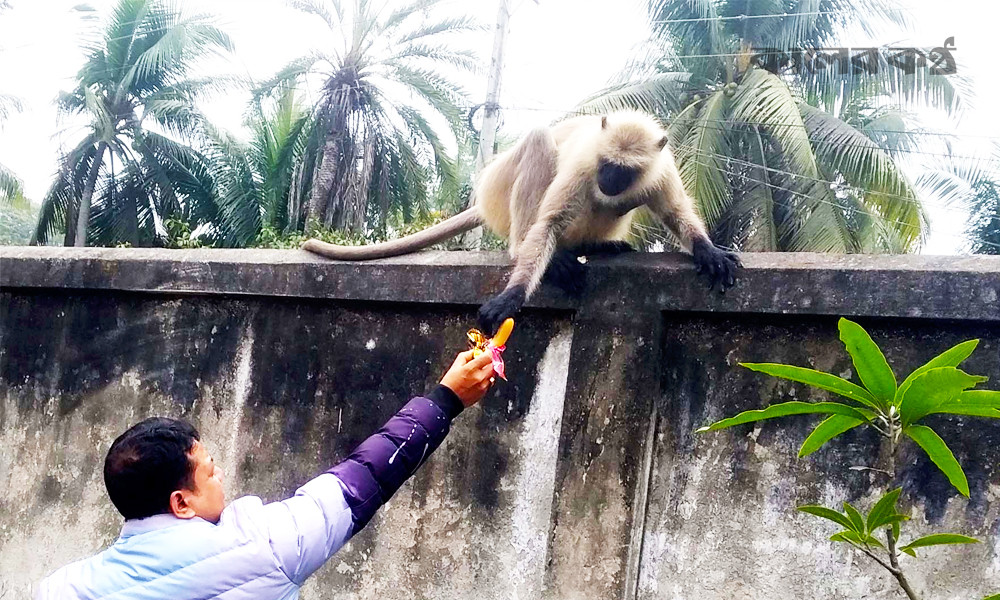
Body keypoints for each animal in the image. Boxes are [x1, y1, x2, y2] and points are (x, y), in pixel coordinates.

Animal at [304, 110, 744, 336]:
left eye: (622, 170)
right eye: (606, 164)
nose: (608, 181)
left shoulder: (658, 167)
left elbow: (676, 213)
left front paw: (709, 251)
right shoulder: (585, 166)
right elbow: (547, 223)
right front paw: (513, 295)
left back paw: (594, 246)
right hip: (499, 189)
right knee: (538, 141)